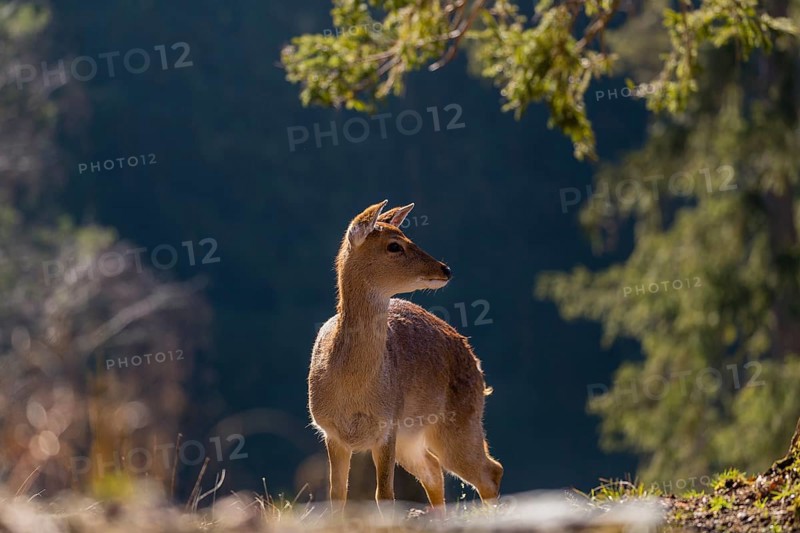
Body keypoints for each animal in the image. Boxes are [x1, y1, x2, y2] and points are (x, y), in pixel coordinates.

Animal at [308, 200, 503, 514]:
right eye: (394, 246)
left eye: (407, 236)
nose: (446, 268)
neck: (350, 387)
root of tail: (476, 363)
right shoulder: (331, 432)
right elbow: (337, 495)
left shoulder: (388, 425)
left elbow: (384, 495)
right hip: (412, 438)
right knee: (434, 470)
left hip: (459, 421)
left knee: (490, 471)